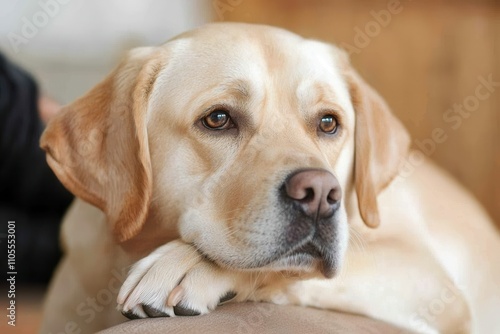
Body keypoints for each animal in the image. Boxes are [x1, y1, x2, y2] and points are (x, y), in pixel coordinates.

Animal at [40, 24, 500, 334]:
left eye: (329, 123)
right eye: (218, 118)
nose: (319, 194)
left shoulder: (434, 284)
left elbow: (291, 273)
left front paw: (188, 265)